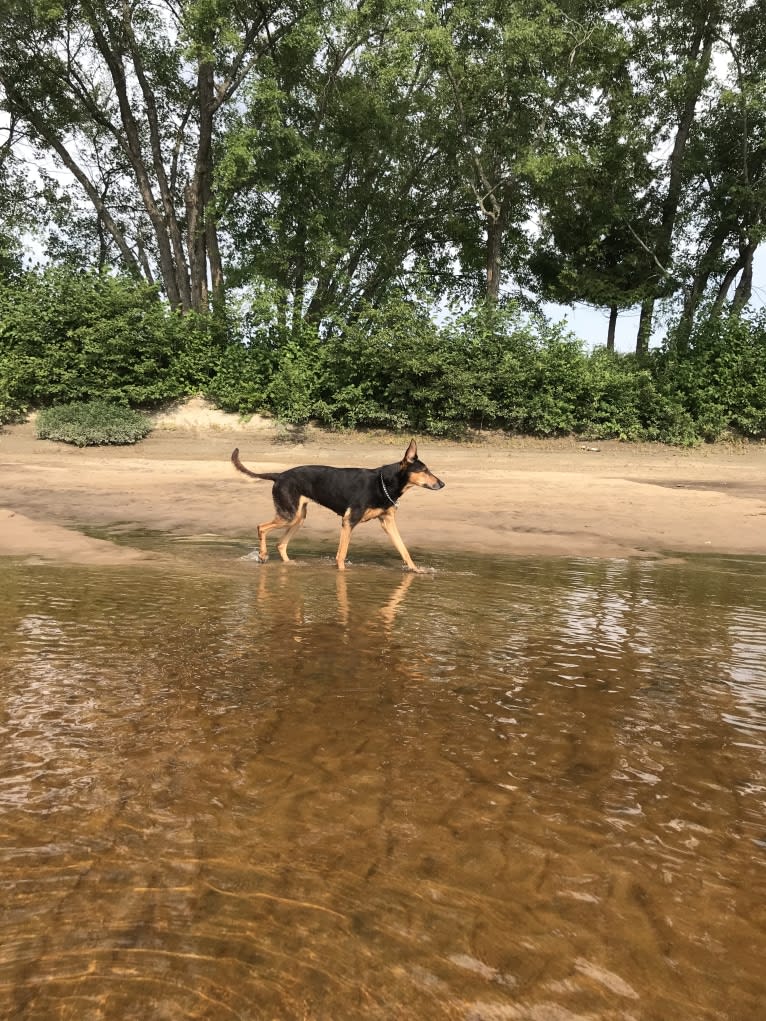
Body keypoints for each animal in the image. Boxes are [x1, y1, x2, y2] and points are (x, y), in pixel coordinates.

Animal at [229, 436, 443, 571]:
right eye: (424, 470)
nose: (442, 484)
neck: (384, 484)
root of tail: (279, 475)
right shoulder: (349, 521)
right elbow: (341, 555)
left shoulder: (387, 522)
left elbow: (404, 550)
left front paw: (416, 570)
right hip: (289, 516)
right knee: (261, 527)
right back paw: (262, 555)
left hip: (298, 517)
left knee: (281, 544)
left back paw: (289, 565)